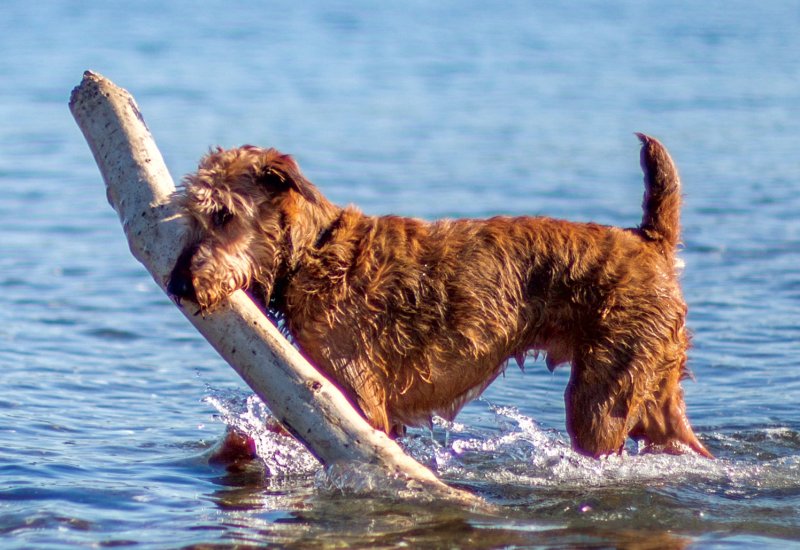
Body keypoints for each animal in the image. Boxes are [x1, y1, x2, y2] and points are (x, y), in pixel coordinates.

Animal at [167, 135, 712, 462]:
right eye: (189, 214)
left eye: (222, 214)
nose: (177, 285)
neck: (313, 254)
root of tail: (650, 241)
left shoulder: (359, 401)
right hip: (655, 398)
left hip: (600, 400)